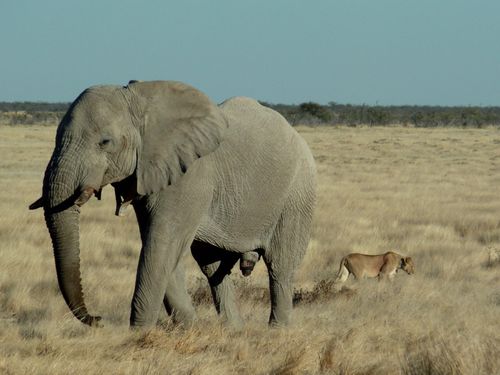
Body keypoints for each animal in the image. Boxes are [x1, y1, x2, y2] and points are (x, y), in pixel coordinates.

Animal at [29, 80, 316, 328]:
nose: (98, 319)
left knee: (281, 267)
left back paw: (276, 331)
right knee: (213, 267)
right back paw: (234, 330)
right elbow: (160, 246)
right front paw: (188, 326)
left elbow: (161, 243)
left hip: (297, 195)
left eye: (105, 142)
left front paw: (139, 333)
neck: (141, 102)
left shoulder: (189, 178)